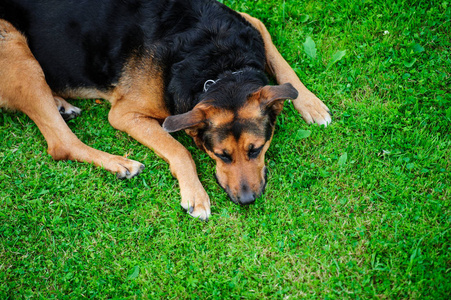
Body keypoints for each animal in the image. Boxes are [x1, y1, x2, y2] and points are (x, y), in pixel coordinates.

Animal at [0, 0, 332, 220]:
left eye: (257, 149)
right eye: (221, 155)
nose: (247, 201)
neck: (218, 62)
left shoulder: (251, 23)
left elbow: (282, 65)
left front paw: (311, 103)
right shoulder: (125, 114)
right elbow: (179, 149)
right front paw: (195, 194)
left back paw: (61, 103)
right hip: (15, 47)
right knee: (60, 143)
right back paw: (120, 164)